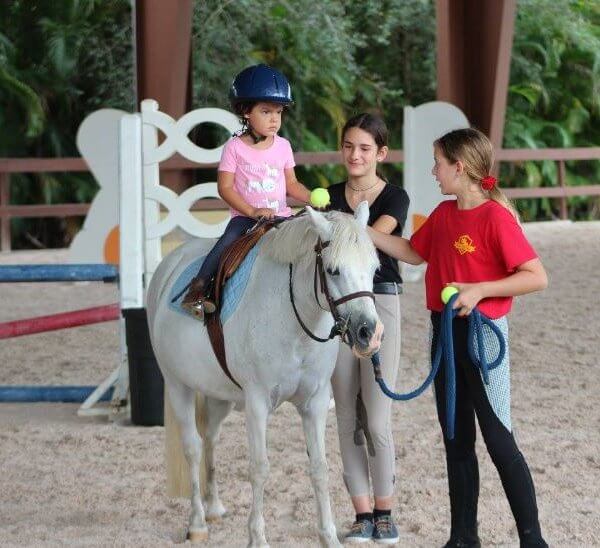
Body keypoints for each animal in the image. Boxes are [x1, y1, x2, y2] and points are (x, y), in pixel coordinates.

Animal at [148, 204, 386, 548]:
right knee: (192, 447)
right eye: (333, 270)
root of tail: (168, 267)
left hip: (219, 396)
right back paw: (197, 523)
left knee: (210, 439)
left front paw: (329, 536)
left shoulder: (315, 403)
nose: (369, 333)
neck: (292, 317)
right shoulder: (257, 403)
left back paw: (214, 506)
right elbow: (259, 468)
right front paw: (257, 537)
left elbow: (320, 467)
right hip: (178, 385)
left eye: (374, 268)